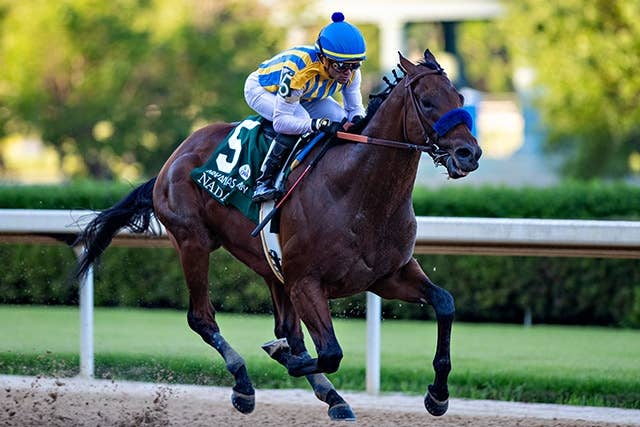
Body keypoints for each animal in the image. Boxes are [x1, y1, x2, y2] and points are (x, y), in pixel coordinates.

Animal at [74, 50, 481, 421]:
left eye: (460, 100)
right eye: (427, 102)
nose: (469, 153)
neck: (357, 193)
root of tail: (173, 158)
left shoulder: (386, 275)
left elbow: (445, 303)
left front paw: (438, 394)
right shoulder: (307, 282)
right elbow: (329, 353)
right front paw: (279, 355)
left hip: (271, 266)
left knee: (286, 327)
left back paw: (333, 398)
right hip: (193, 242)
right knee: (202, 318)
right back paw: (243, 383)